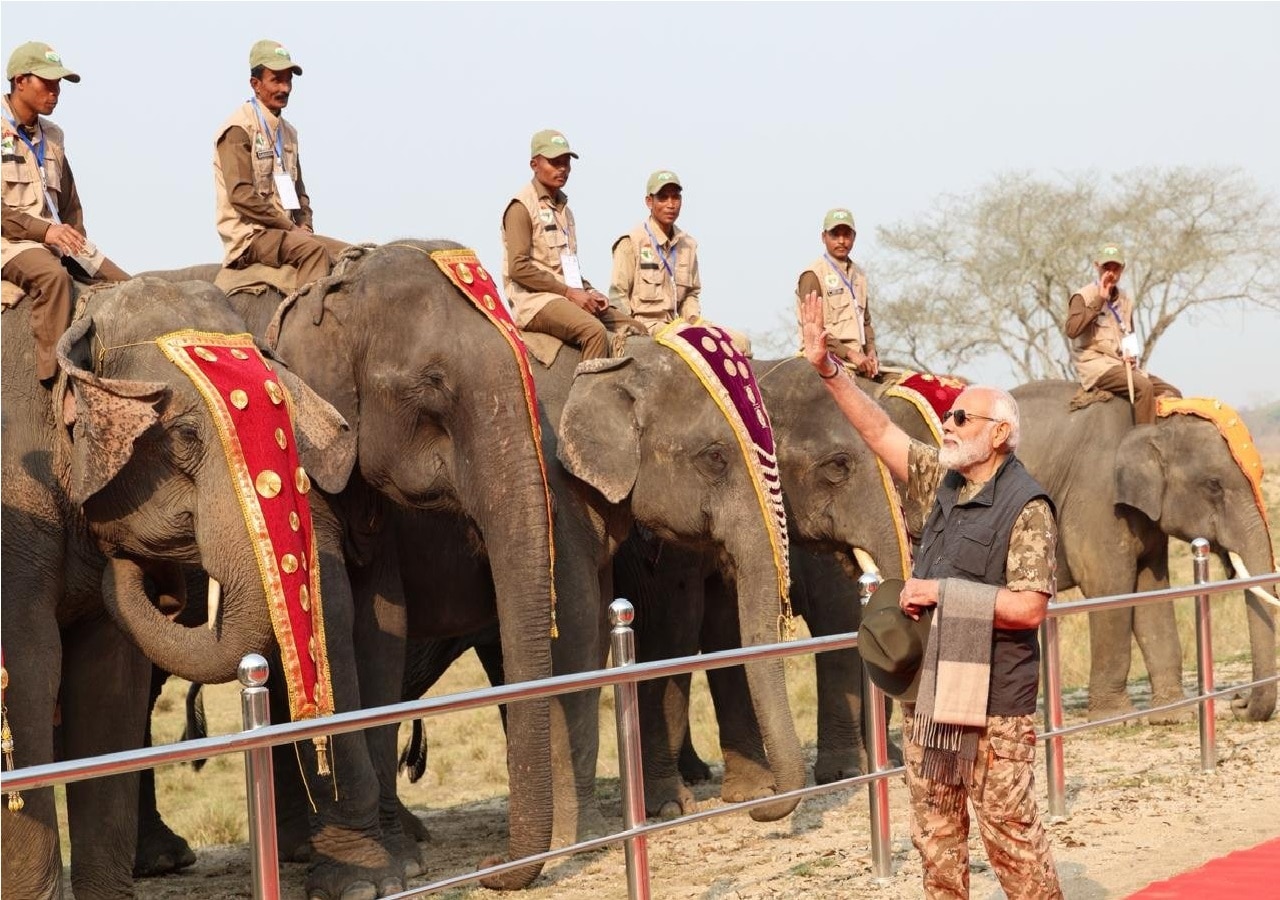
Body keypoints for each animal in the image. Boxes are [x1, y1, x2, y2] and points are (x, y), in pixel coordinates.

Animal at [1008, 378, 1269, 727]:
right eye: (1214, 485)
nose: (1239, 702)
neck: (1156, 422)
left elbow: (1151, 592)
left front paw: (1175, 715)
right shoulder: (1098, 496)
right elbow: (1109, 586)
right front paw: (1118, 718)